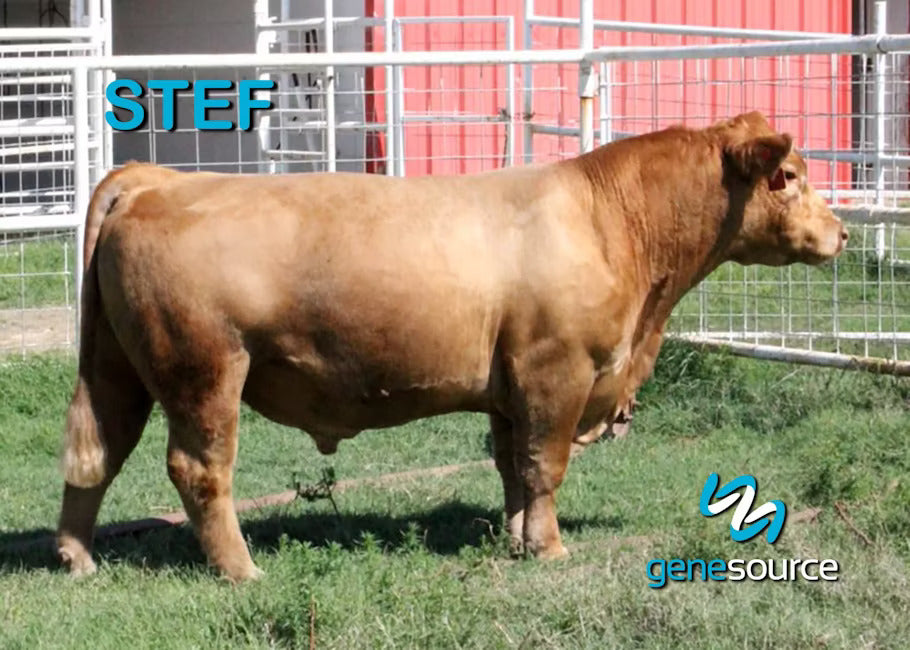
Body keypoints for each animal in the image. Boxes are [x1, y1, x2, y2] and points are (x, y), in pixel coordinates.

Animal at [57, 112, 847, 582]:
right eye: (786, 177)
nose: (841, 232)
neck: (608, 221)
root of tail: (156, 180)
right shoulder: (555, 373)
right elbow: (544, 466)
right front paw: (550, 549)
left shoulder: (511, 386)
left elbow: (512, 468)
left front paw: (517, 538)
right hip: (205, 370)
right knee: (199, 469)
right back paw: (241, 569)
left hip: (117, 366)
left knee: (96, 452)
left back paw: (77, 556)